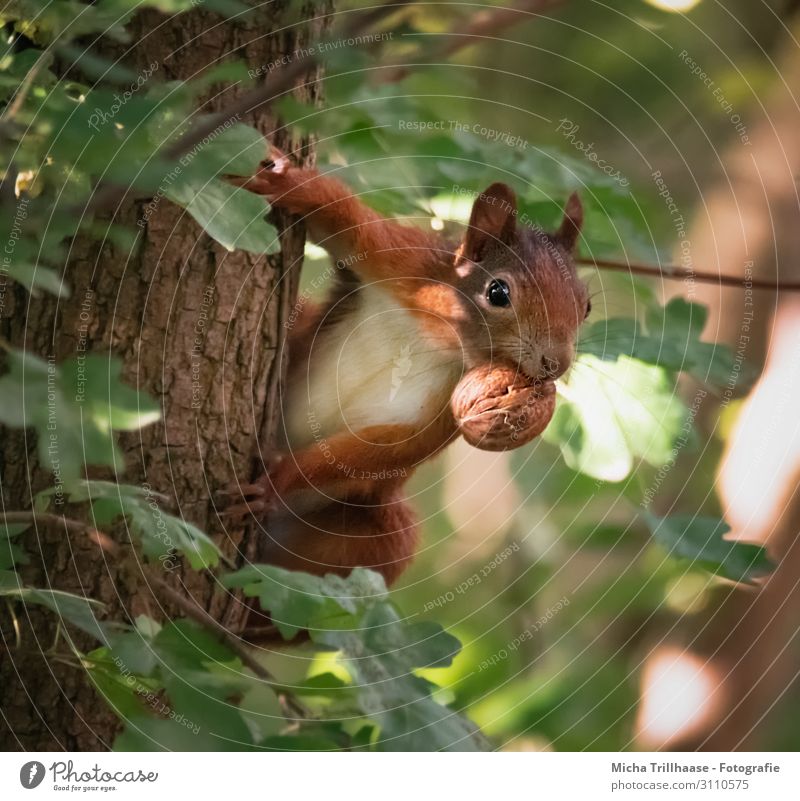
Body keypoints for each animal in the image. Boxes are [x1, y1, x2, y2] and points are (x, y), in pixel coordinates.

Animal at [225, 147, 588, 588]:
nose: (556, 364)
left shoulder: (443, 414)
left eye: (586, 305)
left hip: (371, 528)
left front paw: (275, 484)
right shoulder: (405, 264)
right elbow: (347, 221)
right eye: (498, 292)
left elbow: (386, 450)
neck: (441, 335)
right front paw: (289, 183)